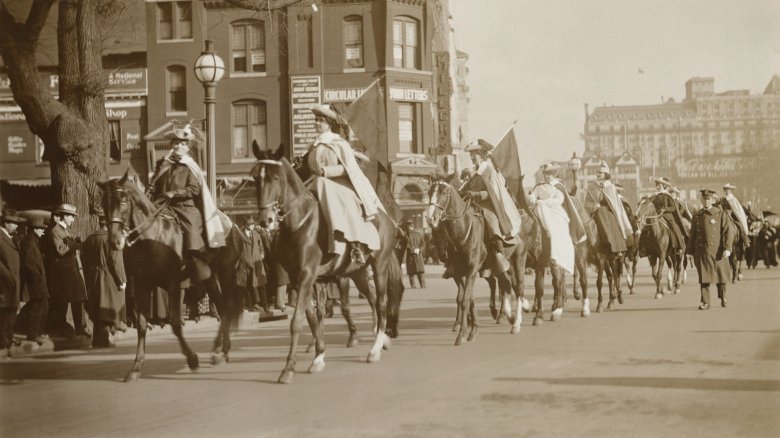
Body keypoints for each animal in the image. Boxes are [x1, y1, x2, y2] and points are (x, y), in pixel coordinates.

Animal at [97, 173, 244, 382]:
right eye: (104, 202)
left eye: (123, 200)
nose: (114, 241)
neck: (151, 237)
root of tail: (235, 226)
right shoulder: (142, 285)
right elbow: (142, 325)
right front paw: (136, 367)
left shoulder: (174, 284)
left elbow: (175, 324)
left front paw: (192, 359)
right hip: (209, 278)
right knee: (222, 309)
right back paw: (220, 350)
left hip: (226, 272)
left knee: (228, 307)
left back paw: (221, 352)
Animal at [253, 144, 406, 384]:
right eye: (255, 178)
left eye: (275, 177)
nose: (265, 219)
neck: (300, 224)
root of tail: (386, 217)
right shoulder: (298, 279)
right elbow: (311, 317)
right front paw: (318, 357)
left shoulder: (308, 275)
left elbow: (297, 321)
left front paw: (288, 369)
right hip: (357, 272)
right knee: (372, 298)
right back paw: (381, 339)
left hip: (379, 266)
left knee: (381, 303)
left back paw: (375, 349)